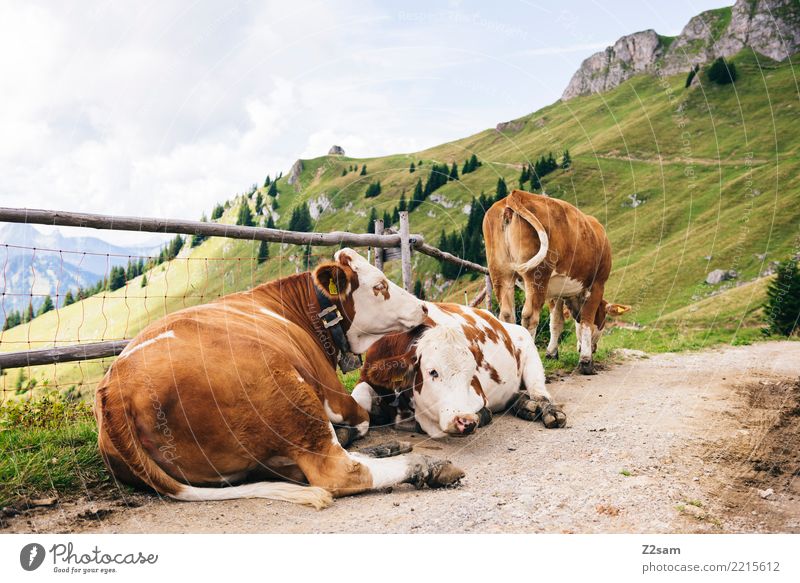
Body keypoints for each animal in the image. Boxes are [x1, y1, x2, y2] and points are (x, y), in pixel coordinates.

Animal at [96, 249, 466, 508]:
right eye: (379, 286)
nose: (422, 307)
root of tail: (115, 388)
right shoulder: (335, 396)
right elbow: (362, 404)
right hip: (287, 390)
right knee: (335, 470)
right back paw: (424, 465)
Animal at [354, 302, 564, 438]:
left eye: (471, 375)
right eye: (433, 372)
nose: (465, 421)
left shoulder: (479, 395)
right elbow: (359, 396)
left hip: (530, 351)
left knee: (540, 393)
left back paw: (549, 412)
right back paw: (526, 407)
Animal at [482, 189, 632, 376]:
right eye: (604, 319)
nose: (595, 348)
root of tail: (516, 195)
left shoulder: (556, 292)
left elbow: (556, 322)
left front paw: (552, 353)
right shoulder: (597, 284)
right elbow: (586, 321)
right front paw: (586, 361)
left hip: (500, 273)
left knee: (507, 315)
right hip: (537, 274)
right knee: (530, 317)